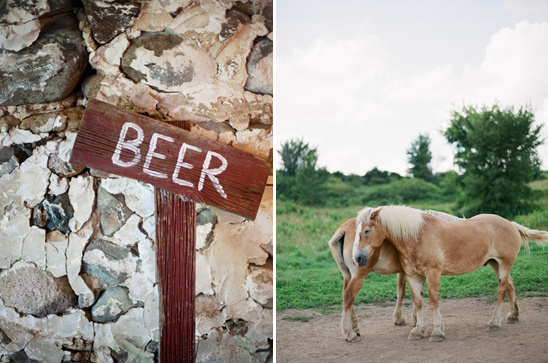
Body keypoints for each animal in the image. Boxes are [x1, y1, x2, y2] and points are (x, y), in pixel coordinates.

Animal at [328, 209, 464, 342]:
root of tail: (343, 230)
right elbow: (412, 294)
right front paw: (414, 320)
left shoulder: (404, 272)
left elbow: (402, 292)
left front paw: (404, 319)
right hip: (358, 275)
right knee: (349, 294)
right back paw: (350, 333)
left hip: (347, 275)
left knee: (345, 295)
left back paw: (354, 327)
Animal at [352, 206, 548, 342]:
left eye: (367, 230)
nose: (358, 258)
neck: (417, 237)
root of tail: (511, 224)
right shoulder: (413, 276)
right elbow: (418, 302)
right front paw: (418, 330)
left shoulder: (433, 273)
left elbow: (433, 301)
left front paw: (437, 332)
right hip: (495, 264)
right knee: (510, 285)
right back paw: (513, 316)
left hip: (504, 265)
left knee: (501, 291)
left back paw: (494, 323)